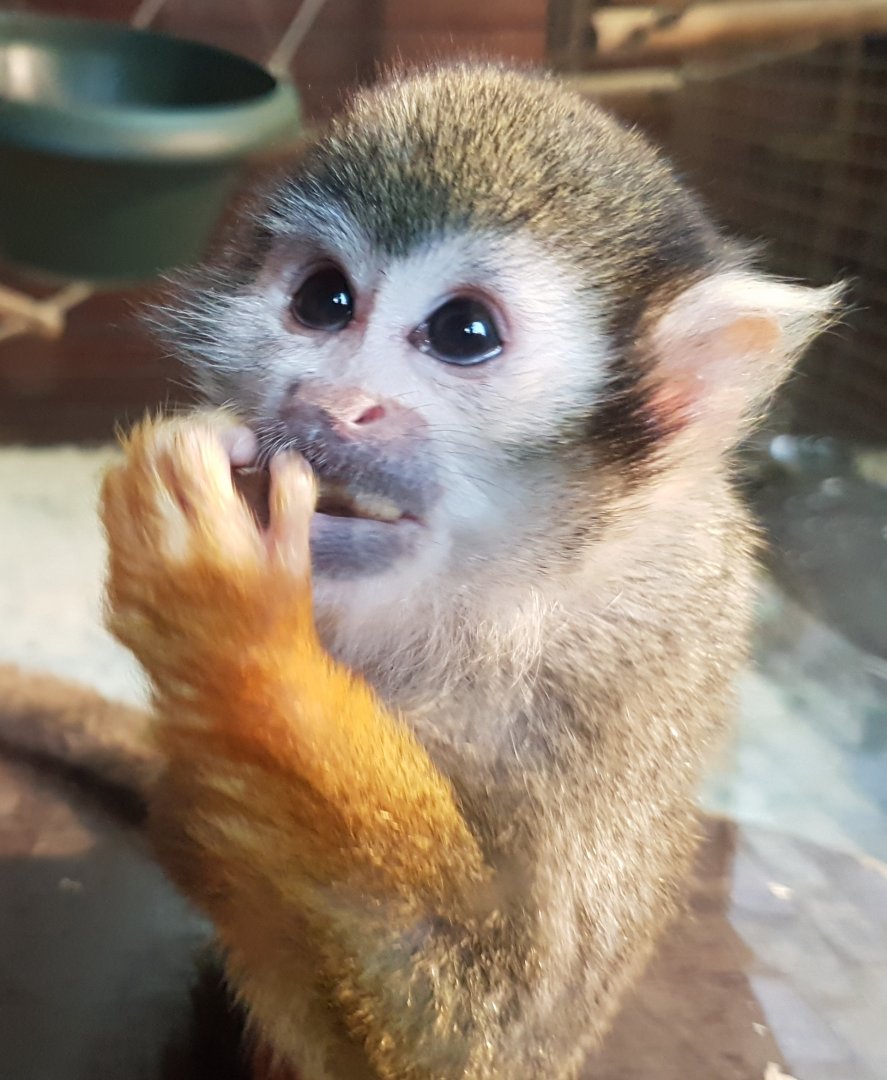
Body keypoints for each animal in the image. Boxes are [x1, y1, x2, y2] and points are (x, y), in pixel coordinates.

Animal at [2, 62, 839, 1080]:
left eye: (462, 332)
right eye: (324, 301)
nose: (331, 401)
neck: (495, 594)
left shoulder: (625, 665)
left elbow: (484, 1038)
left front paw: (234, 631)